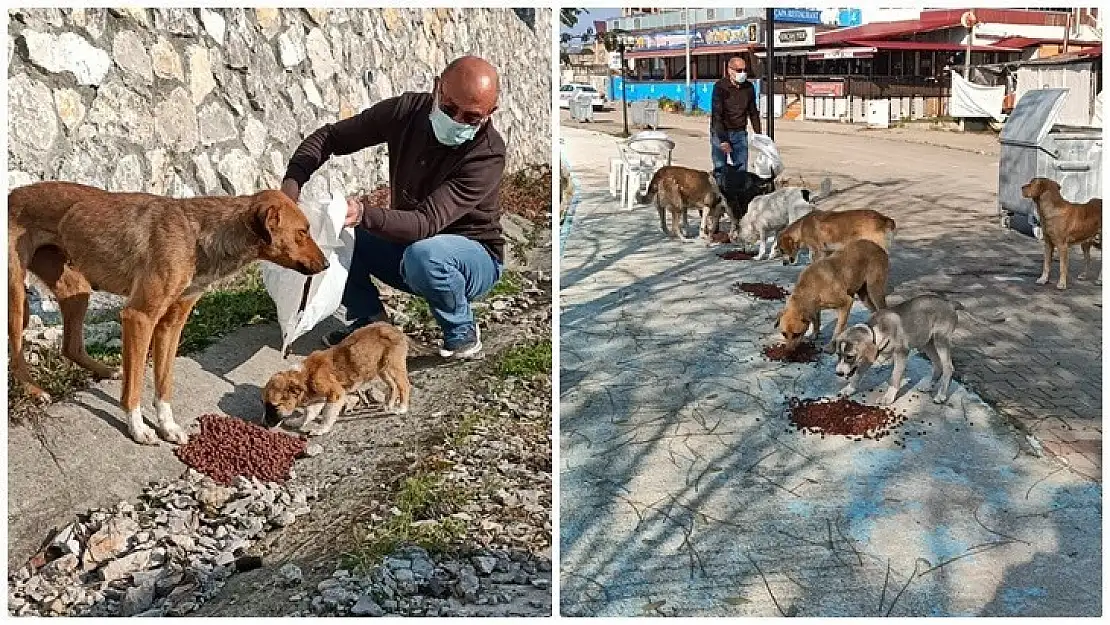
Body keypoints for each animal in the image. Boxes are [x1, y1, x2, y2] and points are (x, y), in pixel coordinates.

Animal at [8, 180, 328, 444]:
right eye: (302, 233)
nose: (326, 265)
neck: (198, 236)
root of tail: (13, 192)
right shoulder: (139, 317)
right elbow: (135, 384)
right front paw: (137, 428)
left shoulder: (171, 324)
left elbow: (164, 382)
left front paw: (168, 426)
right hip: (16, 295)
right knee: (15, 349)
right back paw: (34, 390)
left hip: (76, 289)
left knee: (71, 345)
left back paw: (106, 370)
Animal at [260, 321, 412, 435]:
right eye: (264, 404)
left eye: (275, 406)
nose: (263, 425)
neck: (306, 376)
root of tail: (395, 329)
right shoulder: (318, 399)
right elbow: (309, 413)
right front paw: (297, 422)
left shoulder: (335, 394)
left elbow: (327, 415)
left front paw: (320, 429)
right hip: (381, 369)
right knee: (393, 386)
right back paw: (389, 404)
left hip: (394, 365)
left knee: (404, 385)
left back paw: (401, 408)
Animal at [834, 295, 963, 408]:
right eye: (838, 355)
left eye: (850, 357)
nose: (838, 373)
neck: (877, 330)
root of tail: (949, 303)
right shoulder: (869, 357)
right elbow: (858, 374)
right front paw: (849, 388)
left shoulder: (902, 353)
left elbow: (894, 376)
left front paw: (888, 397)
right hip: (927, 343)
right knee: (938, 364)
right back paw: (928, 387)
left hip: (940, 341)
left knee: (948, 367)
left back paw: (941, 395)